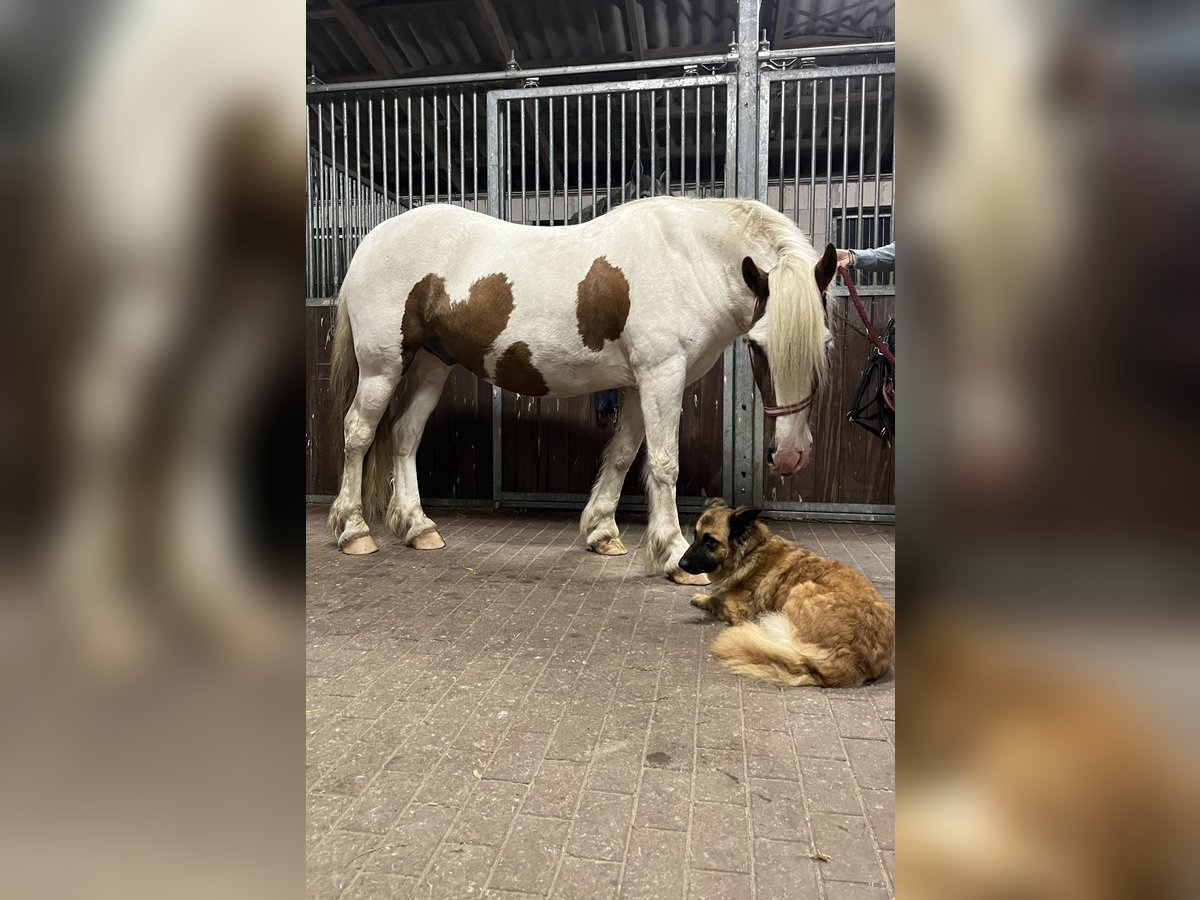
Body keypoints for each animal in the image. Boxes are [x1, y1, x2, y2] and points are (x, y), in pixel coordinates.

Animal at [326, 196, 835, 585]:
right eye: (757, 345)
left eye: (826, 344)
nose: (790, 456)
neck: (688, 258)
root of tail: (372, 239)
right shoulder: (662, 374)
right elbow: (663, 463)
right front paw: (674, 555)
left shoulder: (637, 383)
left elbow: (623, 455)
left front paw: (603, 533)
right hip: (382, 367)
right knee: (357, 434)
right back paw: (354, 531)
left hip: (433, 365)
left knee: (406, 435)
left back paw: (418, 528)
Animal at [681, 501, 897, 691]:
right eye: (695, 535)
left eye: (710, 541)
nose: (680, 564)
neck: (749, 552)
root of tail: (850, 662)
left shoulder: (738, 610)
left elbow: (718, 599)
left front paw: (702, 598)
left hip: (801, 589)